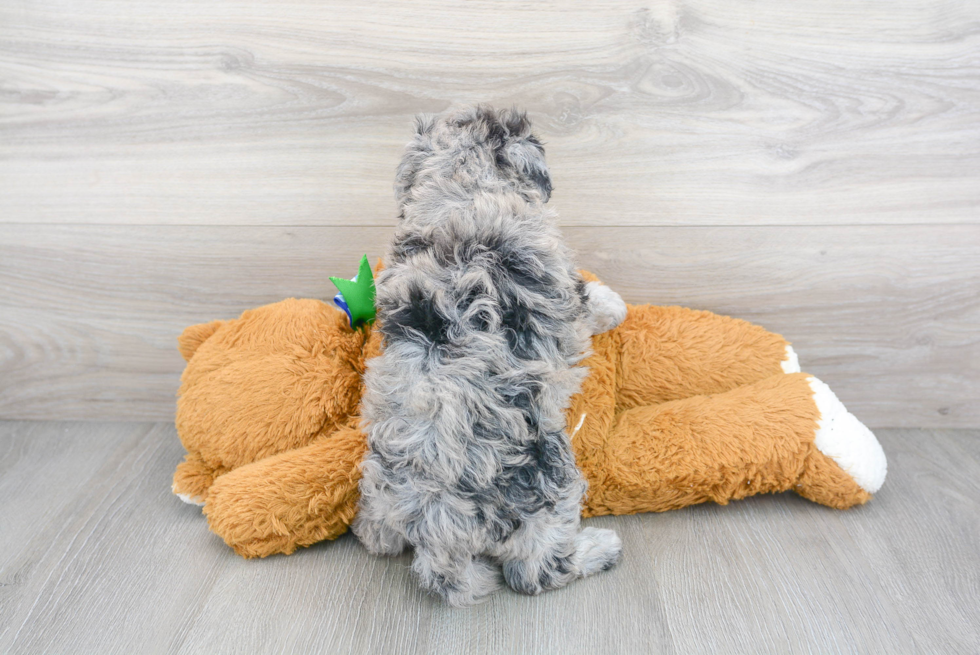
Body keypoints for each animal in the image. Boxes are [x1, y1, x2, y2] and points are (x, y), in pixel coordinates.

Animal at [354, 105, 628, 608]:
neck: (462, 186)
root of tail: (439, 529)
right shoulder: (561, 286)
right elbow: (589, 301)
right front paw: (614, 305)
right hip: (548, 484)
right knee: (536, 571)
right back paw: (599, 549)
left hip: (380, 489)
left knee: (378, 535)